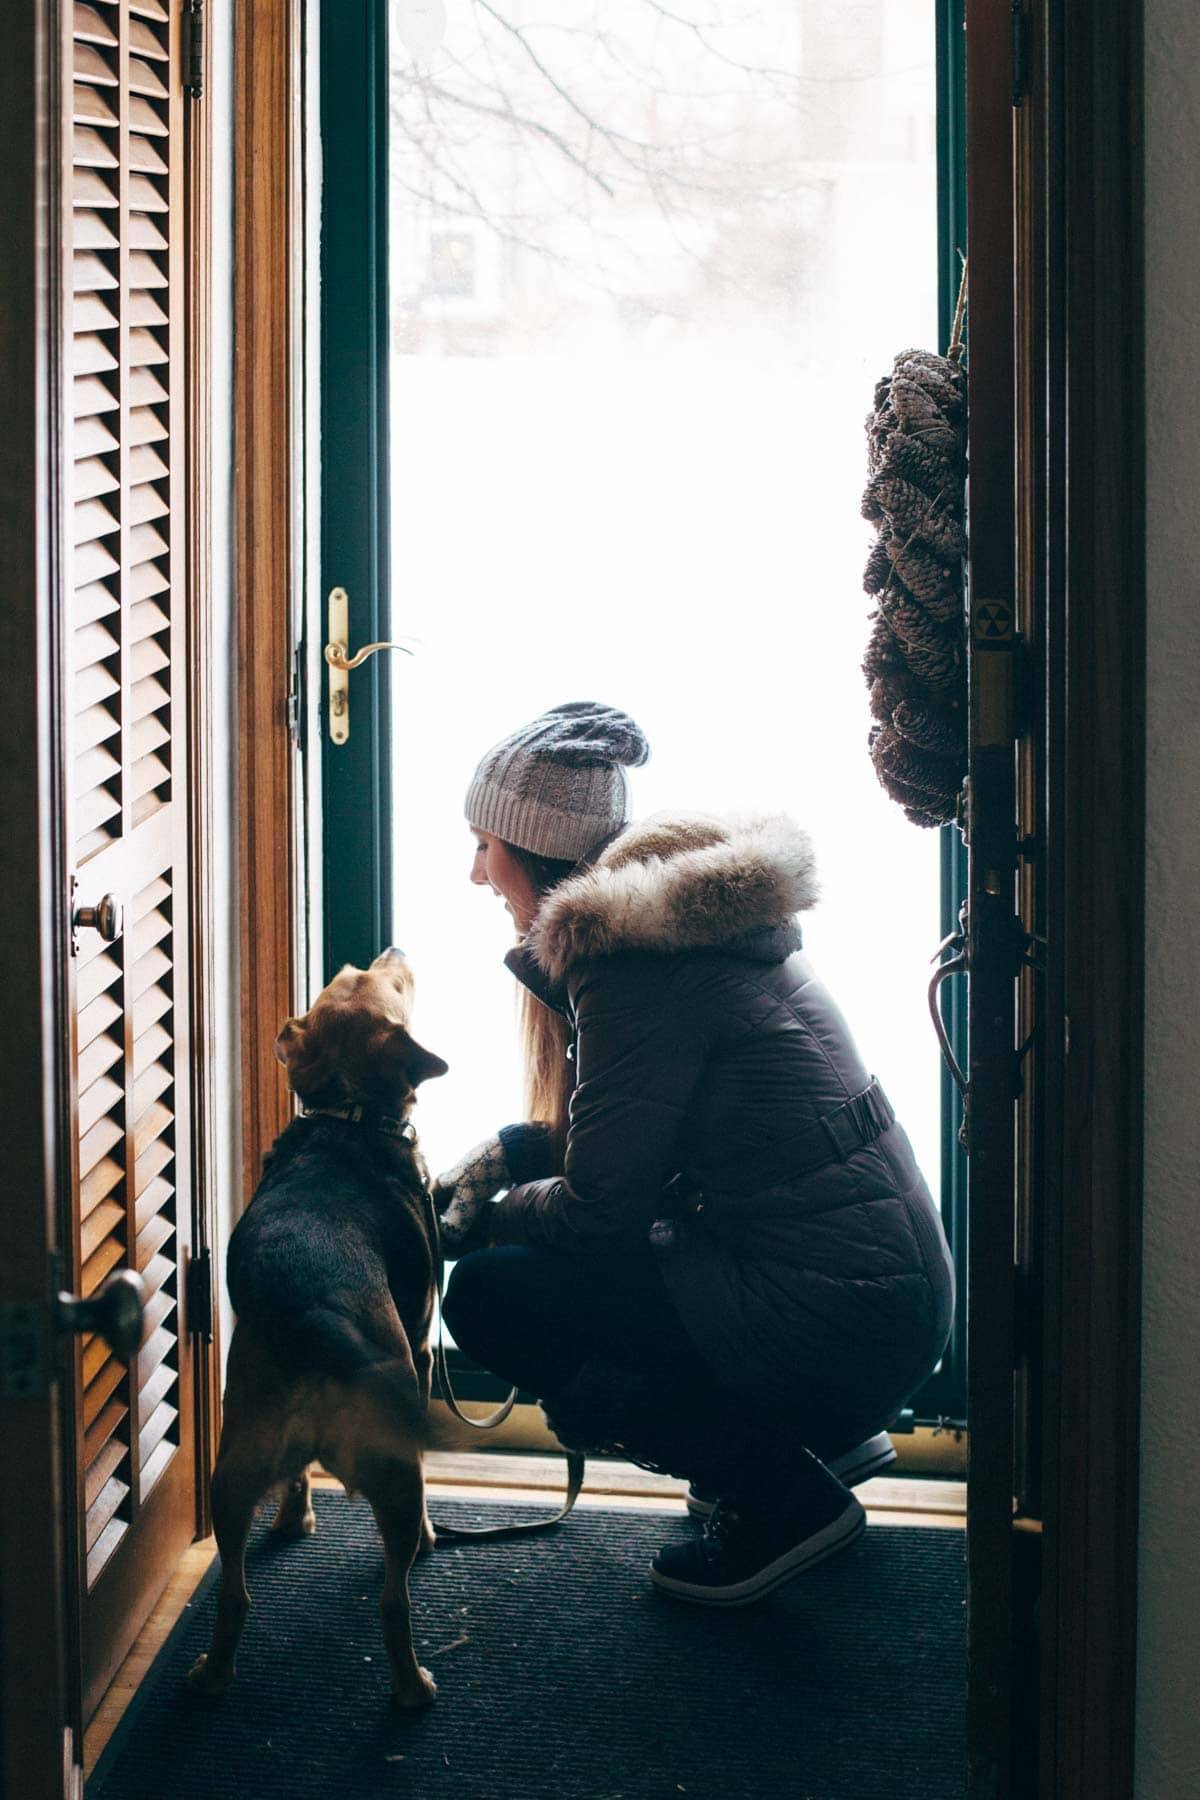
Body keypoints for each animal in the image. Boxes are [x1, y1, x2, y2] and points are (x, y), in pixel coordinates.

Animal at [188, 950, 449, 1706]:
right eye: (382, 980)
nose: (391, 953)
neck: (347, 1113)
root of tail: (315, 1321)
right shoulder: (422, 1340)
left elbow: (296, 1481)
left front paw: (294, 1519)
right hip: (397, 1473)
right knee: (394, 1598)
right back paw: (413, 1687)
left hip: (230, 1472)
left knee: (235, 1595)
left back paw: (212, 1674)